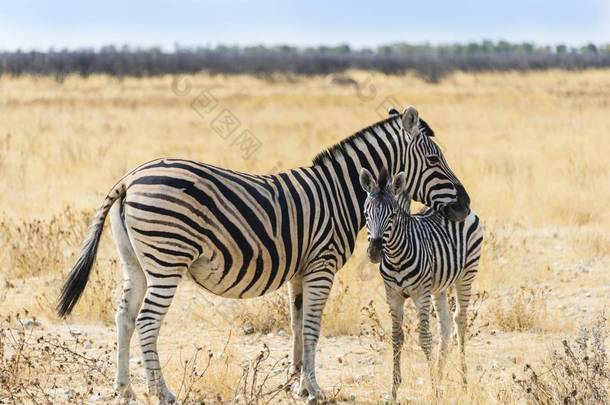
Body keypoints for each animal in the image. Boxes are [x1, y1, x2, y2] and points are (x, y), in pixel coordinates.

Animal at [57, 105, 468, 402]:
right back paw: (162, 392)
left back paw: (124, 389)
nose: (464, 207)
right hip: (167, 261)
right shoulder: (322, 265)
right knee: (145, 321)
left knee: (124, 317)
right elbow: (313, 327)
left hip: (136, 264)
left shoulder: (301, 271)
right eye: (435, 160)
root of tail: (129, 178)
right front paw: (315, 390)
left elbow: (298, 325)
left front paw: (297, 383)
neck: (338, 194)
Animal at [358, 166, 482, 398]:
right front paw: (395, 389)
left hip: (466, 275)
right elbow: (397, 337)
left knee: (460, 321)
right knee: (445, 325)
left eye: (392, 215)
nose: (375, 252)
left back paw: (463, 383)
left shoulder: (420, 294)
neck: (396, 257)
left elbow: (424, 338)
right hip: (439, 286)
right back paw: (442, 376)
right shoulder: (393, 295)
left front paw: (434, 389)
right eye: (365, 214)